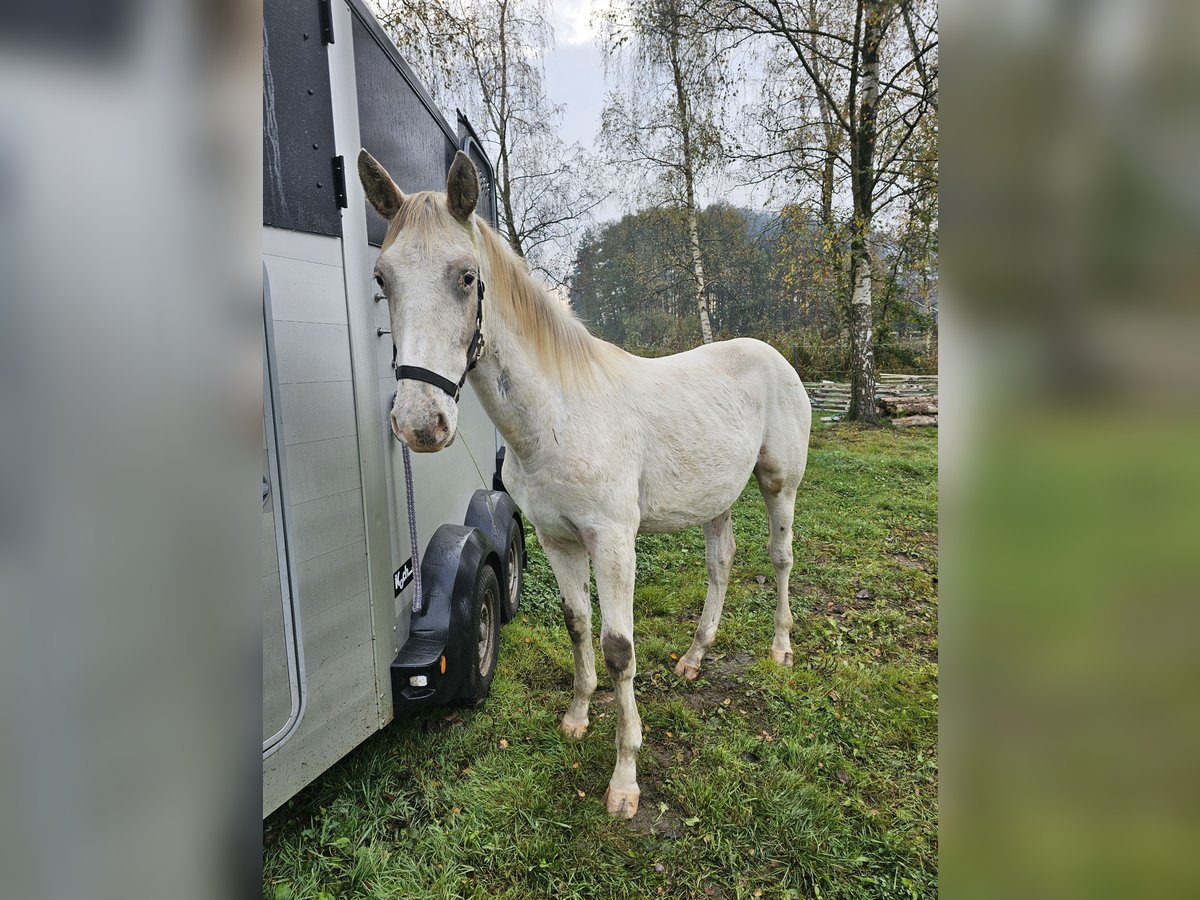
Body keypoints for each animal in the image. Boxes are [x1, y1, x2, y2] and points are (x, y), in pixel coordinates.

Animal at [355, 151, 806, 820]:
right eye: (383, 278)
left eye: (466, 277)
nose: (419, 422)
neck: (558, 416)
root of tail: (775, 356)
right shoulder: (557, 540)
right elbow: (576, 622)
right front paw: (576, 718)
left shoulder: (613, 540)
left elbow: (619, 647)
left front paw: (625, 780)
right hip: (714, 498)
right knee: (722, 562)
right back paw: (694, 658)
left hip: (779, 484)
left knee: (779, 558)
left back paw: (780, 648)